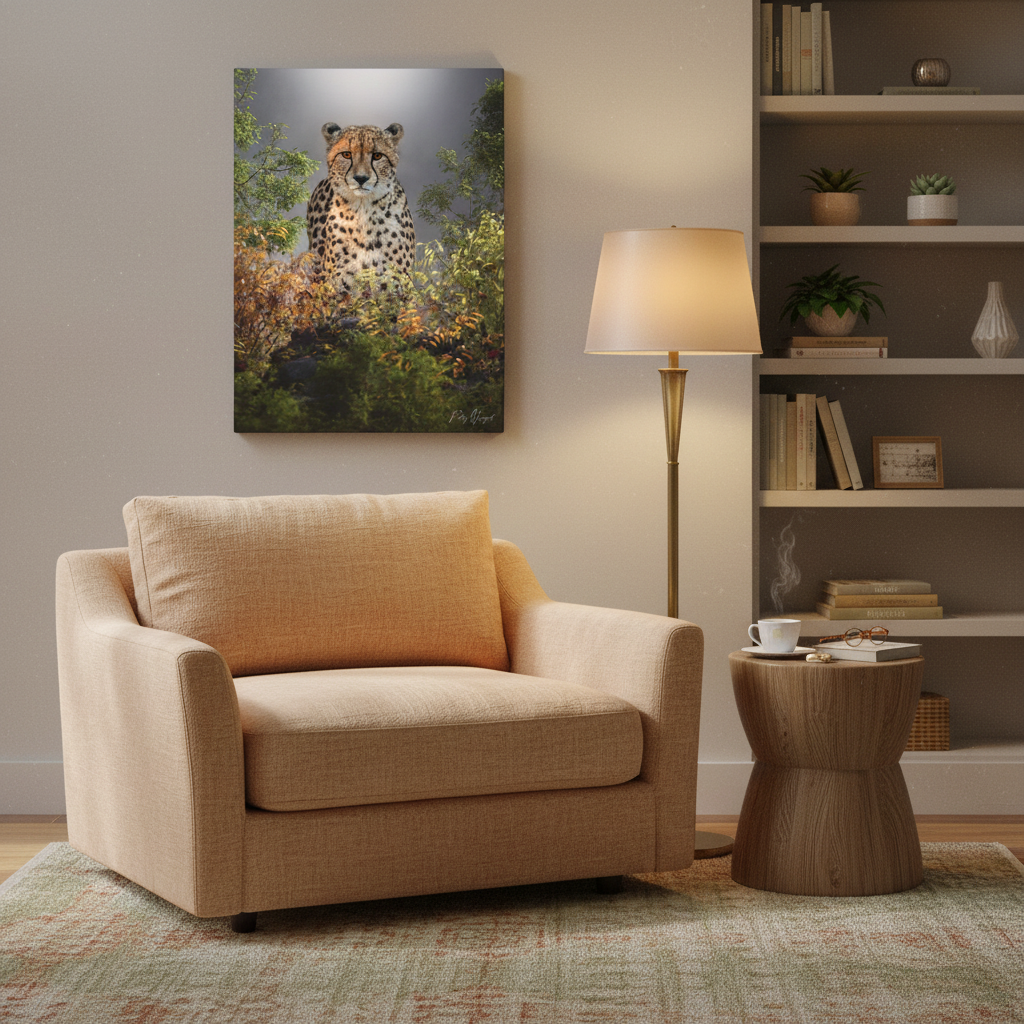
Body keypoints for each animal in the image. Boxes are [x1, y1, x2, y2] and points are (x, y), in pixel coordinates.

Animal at [306, 122, 416, 296]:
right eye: (346, 155)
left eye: (377, 156)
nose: (361, 178)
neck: (364, 211)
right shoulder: (340, 284)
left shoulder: (397, 283)